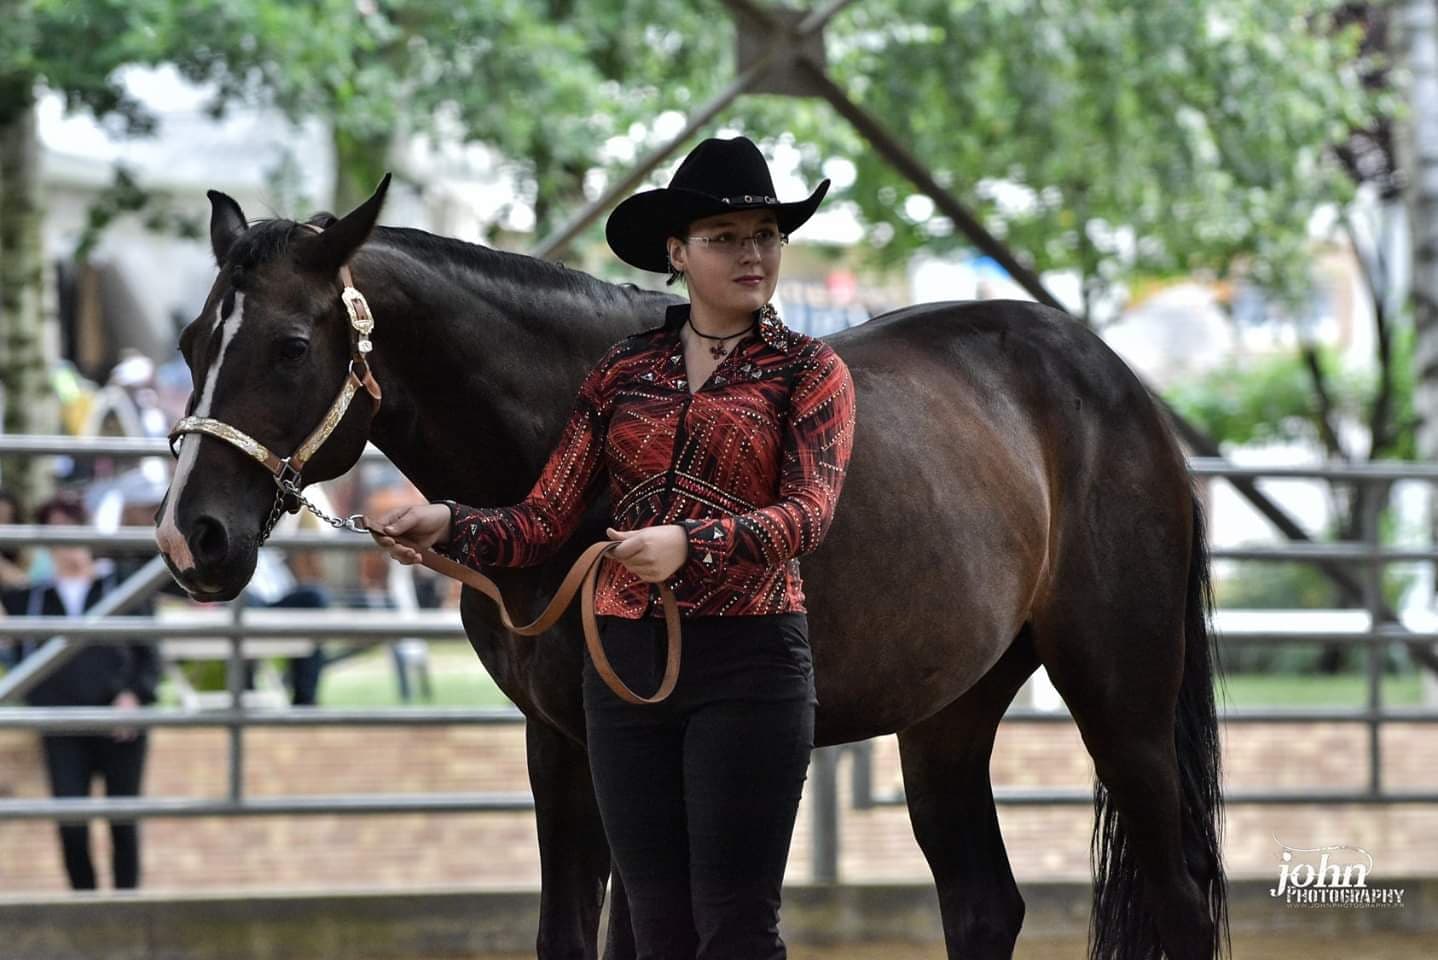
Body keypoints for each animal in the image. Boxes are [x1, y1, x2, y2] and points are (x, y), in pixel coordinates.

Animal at [151, 174, 1225, 960]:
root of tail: (1127, 392)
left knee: (1177, 903)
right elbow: (566, 937)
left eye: (292, 345)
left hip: (1122, 704)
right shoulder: (562, 745)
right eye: (193, 341)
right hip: (950, 716)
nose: (189, 538)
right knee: (983, 905)